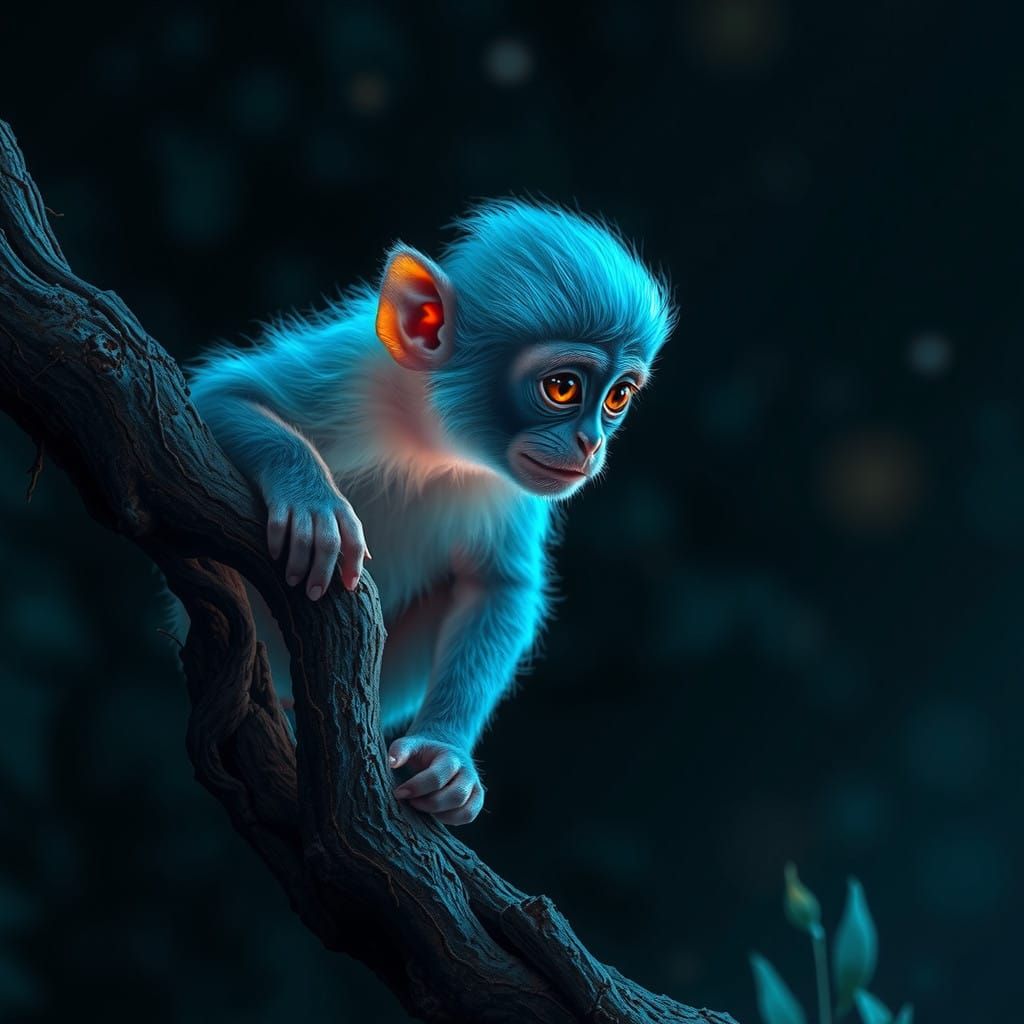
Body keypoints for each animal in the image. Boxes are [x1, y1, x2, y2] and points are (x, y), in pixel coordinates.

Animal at [180, 200, 675, 826]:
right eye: (563, 388)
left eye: (617, 397)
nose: (590, 443)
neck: (434, 440)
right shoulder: (349, 366)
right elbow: (220, 397)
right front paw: (316, 506)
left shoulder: (514, 488)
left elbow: (497, 586)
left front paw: (446, 757)